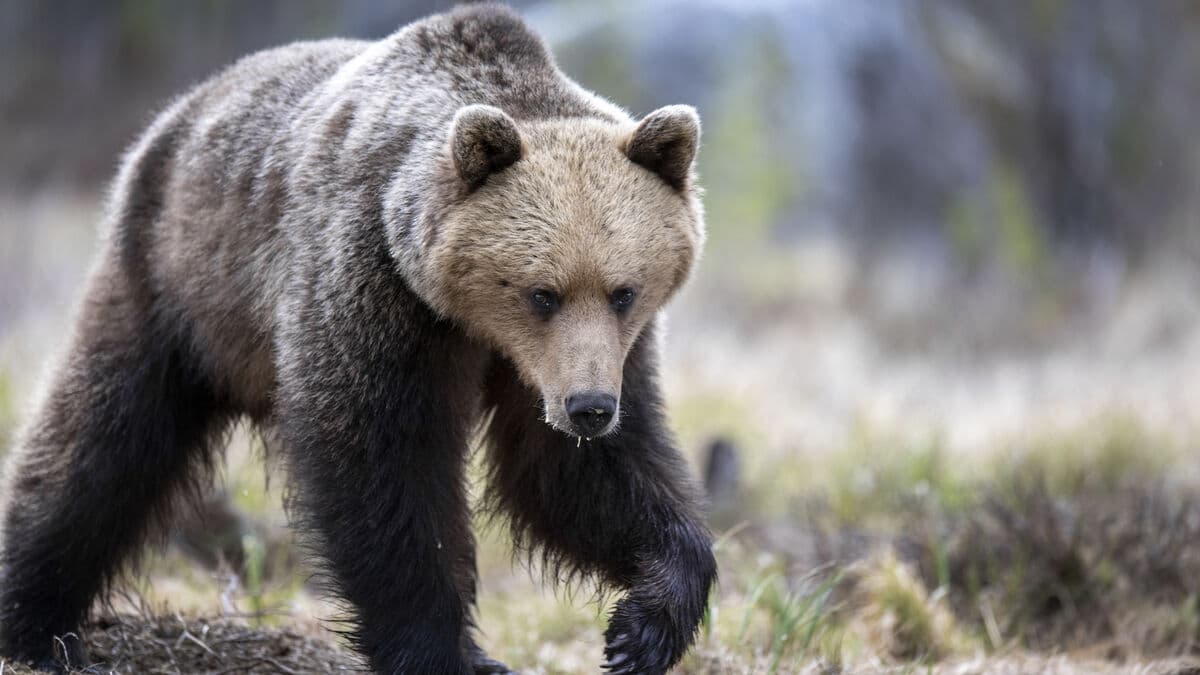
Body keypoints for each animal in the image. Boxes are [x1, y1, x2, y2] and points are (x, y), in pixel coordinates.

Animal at [0, 4, 716, 675]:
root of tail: (184, 106)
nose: (588, 408)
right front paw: (436, 652)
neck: (467, 319)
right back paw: (37, 623)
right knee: (104, 435)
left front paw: (642, 628)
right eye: (542, 293)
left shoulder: (585, 359)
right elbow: (380, 467)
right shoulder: (373, 289)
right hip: (175, 280)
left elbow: (576, 474)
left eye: (624, 291)